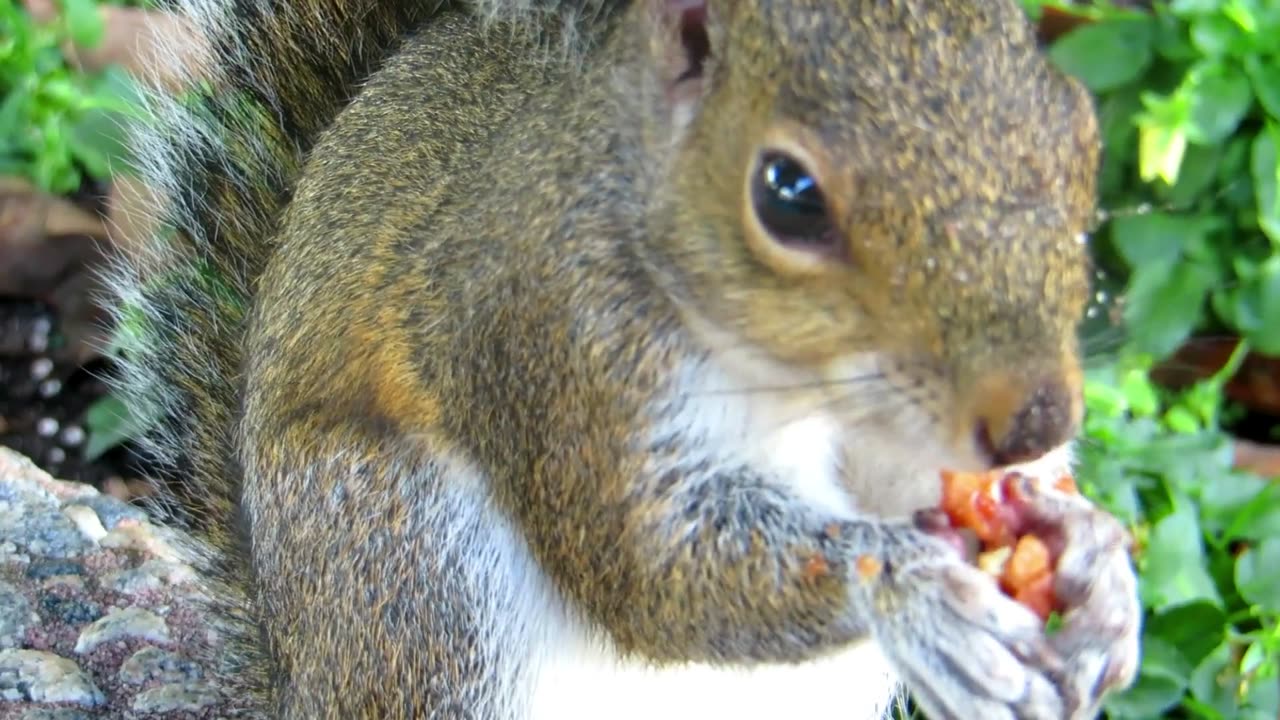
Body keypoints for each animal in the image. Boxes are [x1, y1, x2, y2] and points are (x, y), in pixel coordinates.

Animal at [107, 0, 1143, 717]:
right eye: (787, 194)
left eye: (1079, 130)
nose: (1037, 419)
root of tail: (296, 678)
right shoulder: (552, 342)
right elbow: (653, 570)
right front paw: (915, 588)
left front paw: (1095, 558)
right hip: (406, 567)